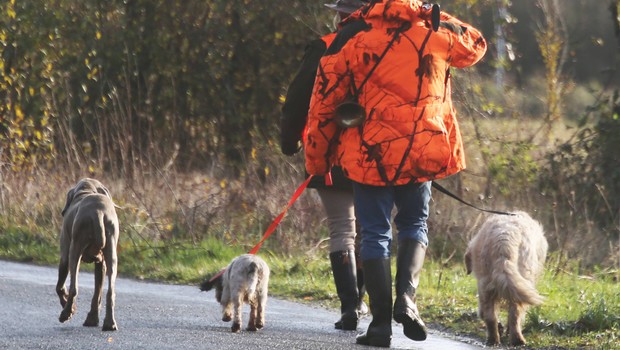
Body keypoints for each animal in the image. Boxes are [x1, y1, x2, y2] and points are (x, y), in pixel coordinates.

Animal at [55, 178, 120, 330]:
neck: (87, 190)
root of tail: (98, 212)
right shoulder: (101, 264)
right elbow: (97, 292)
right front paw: (93, 318)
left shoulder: (64, 255)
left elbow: (59, 287)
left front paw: (70, 308)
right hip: (111, 252)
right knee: (110, 292)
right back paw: (108, 323)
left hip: (74, 250)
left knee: (74, 288)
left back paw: (66, 313)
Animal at [464, 212, 548, 346]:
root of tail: (504, 238)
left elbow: (483, 313)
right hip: (522, 279)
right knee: (514, 314)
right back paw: (517, 340)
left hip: (486, 284)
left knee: (490, 315)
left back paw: (494, 339)